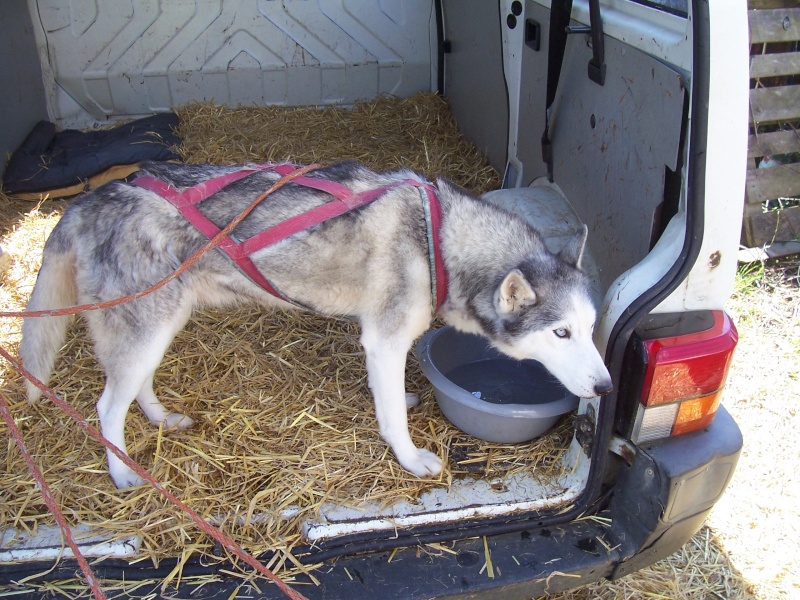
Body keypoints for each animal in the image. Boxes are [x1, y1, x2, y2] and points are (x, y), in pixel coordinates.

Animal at [20, 162, 612, 490]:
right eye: (560, 334)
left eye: (590, 328)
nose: (607, 386)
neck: (436, 238)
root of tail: (90, 197)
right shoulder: (384, 338)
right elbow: (394, 417)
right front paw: (409, 457)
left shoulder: (383, 343)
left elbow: (389, 396)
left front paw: (399, 401)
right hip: (148, 325)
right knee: (105, 406)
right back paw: (122, 471)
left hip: (163, 322)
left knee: (134, 386)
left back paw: (160, 418)